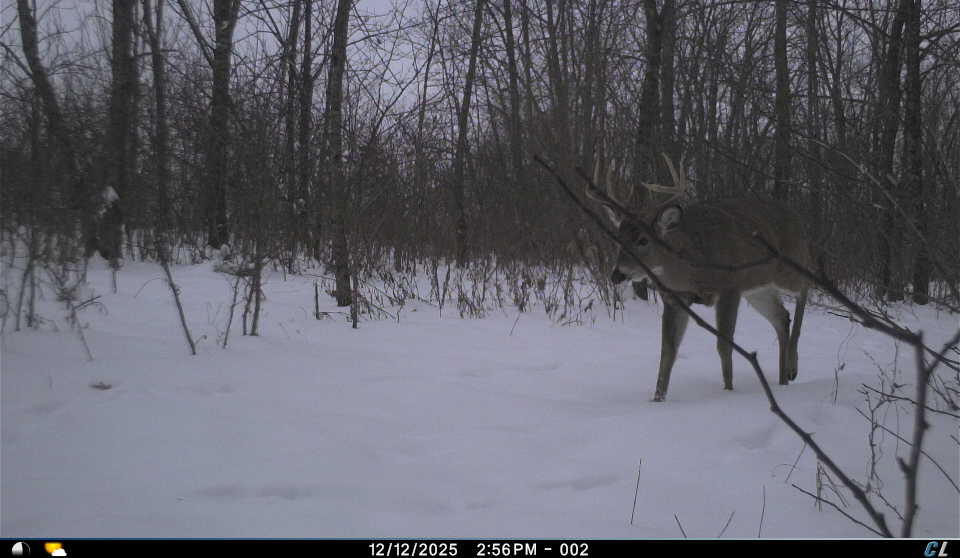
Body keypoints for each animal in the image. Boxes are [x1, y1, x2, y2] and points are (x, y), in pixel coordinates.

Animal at [586, 155, 812, 401]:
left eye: (643, 240)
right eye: (618, 237)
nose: (617, 274)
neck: (694, 268)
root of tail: (798, 218)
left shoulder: (730, 287)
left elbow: (723, 345)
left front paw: (728, 390)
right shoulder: (675, 298)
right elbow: (668, 351)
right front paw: (658, 398)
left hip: (788, 267)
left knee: (806, 286)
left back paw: (792, 367)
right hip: (758, 289)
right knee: (782, 317)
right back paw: (783, 380)